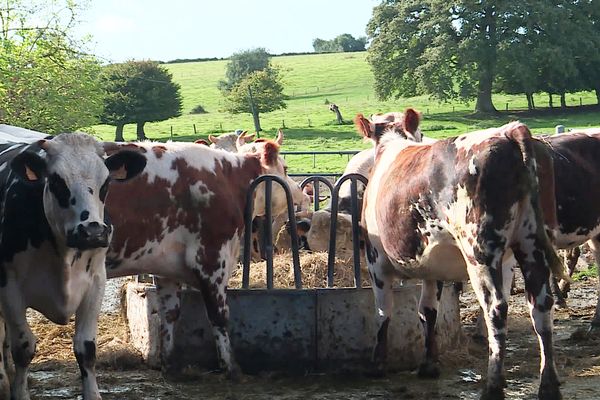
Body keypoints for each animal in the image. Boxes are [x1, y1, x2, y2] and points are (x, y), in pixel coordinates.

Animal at [0, 133, 146, 398]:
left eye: (106, 183)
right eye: (56, 181)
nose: (93, 231)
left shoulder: (95, 283)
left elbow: (86, 349)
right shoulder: (9, 287)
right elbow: (23, 348)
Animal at [103, 138, 296, 378]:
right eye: (285, 168)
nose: (302, 194)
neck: (226, 179)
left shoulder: (165, 265)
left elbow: (170, 313)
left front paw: (169, 364)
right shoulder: (211, 256)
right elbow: (218, 314)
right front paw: (231, 367)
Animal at [356, 110, 568, 400]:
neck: (392, 143)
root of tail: (508, 132)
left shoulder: (375, 259)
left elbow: (383, 311)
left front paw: (377, 365)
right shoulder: (431, 266)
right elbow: (427, 311)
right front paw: (429, 364)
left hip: (479, 251)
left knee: (496, 309)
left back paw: (493, 385)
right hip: (531, 245)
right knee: (541, 306)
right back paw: (548, 384)